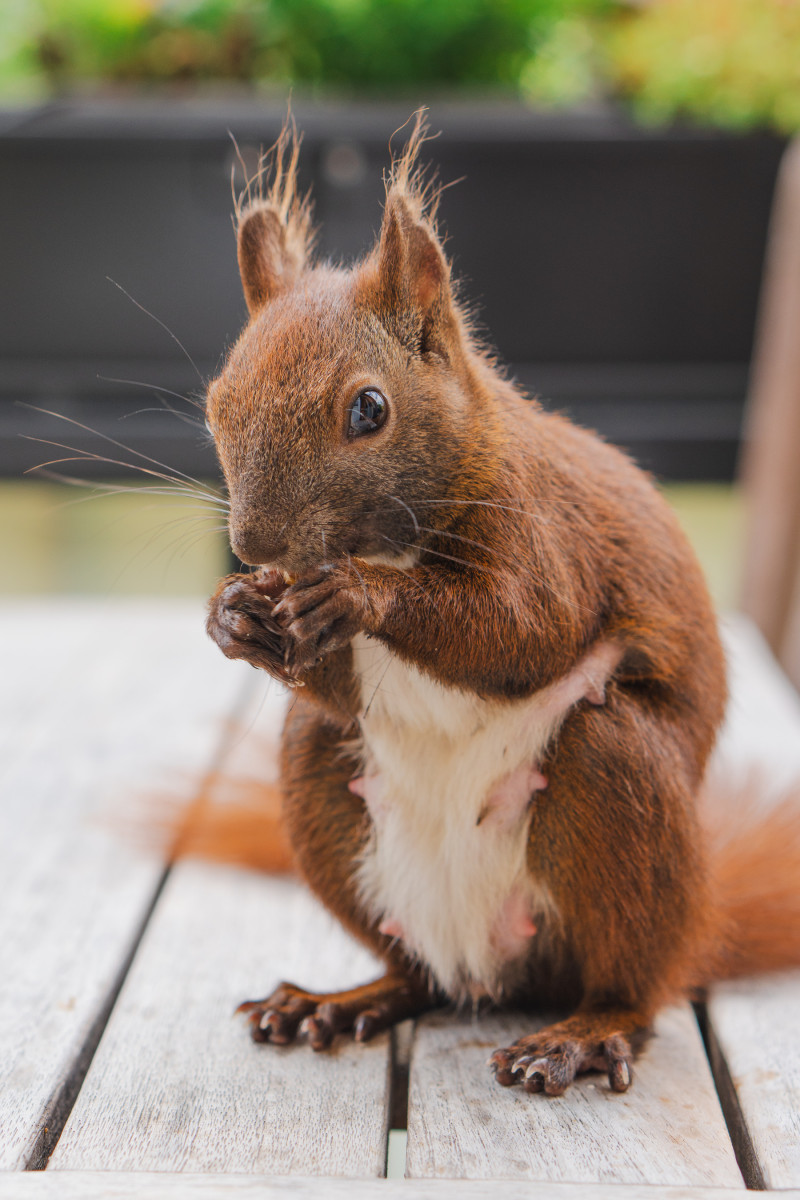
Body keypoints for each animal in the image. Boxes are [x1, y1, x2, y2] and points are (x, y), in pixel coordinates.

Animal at [199, 112, 800, 1099]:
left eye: (369, 409)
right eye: (217, 403)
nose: (257, 547)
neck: (390, 541)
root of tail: (491, 964)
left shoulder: (545, 534)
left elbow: (525, 632)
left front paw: (361, 596)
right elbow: (341, 688)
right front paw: (232, 618)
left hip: (614, 786)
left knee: (637, 983)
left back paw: (582, 1034)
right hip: (320, 784)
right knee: (417, 976)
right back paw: (343, 1000)